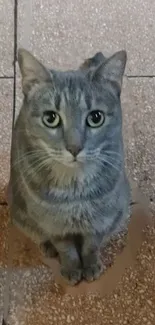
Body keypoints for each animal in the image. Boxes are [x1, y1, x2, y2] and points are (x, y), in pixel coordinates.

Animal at [10, 47, 130, 284]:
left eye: (96, 117)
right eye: (50, 118)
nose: (74, 148)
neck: (75, 190)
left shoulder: (101, 218)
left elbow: (91, 245)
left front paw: (90, 265)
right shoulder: (53, 224)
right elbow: (66, 249)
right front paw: (72, 268)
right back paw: (47, 248)